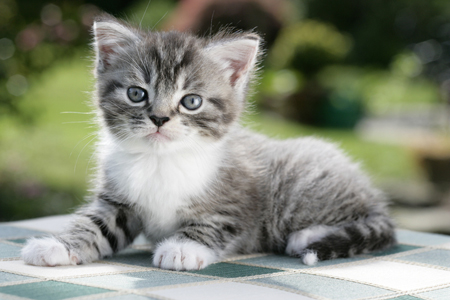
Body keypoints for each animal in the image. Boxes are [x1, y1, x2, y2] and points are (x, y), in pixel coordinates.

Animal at [21, 15, 396, 270]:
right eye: (136, 93)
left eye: (191, 101)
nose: (159, 118)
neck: (162, 160)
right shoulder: (118, 200)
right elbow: (96, 223)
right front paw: (58, 245)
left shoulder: (237, 202)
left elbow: (213, 223)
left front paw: (182, 248)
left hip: (300, 190)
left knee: (381, 228)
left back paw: (310, 235)